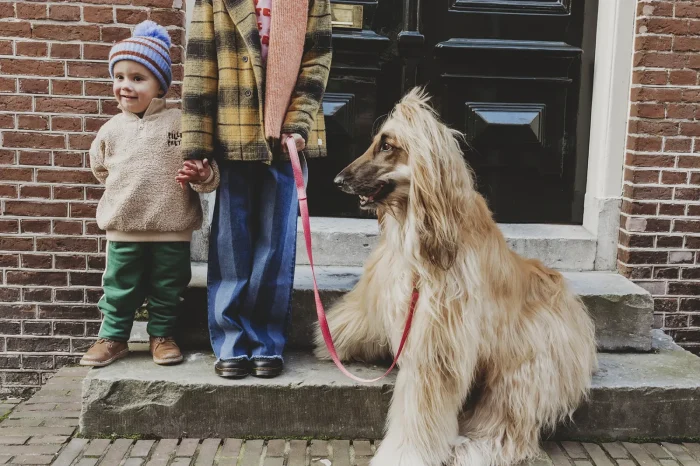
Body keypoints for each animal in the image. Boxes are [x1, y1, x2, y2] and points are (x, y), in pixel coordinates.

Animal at [316, 88, 596, 466]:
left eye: (387, 145)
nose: (337, 180)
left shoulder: (440, 336)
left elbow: (423, 398)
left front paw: (406, 453)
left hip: (529, 360)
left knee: (509, 412)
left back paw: (476, 447)